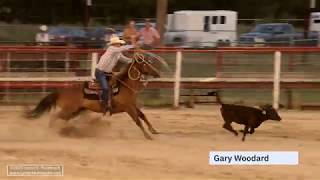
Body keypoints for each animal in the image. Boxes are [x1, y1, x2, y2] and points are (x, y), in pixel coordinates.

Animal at [24, 51, 168, 140]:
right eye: (145, 63)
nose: (158, 73)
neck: (125, 86)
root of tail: (61, 91)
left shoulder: (133, 105)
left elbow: (143, 116)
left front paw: (154, 130)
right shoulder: (128, 108)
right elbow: (137, 120)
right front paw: (148, 136)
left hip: (74, 111)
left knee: (56, 118)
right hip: (68, 110)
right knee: (53, 117)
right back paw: (51, 133)